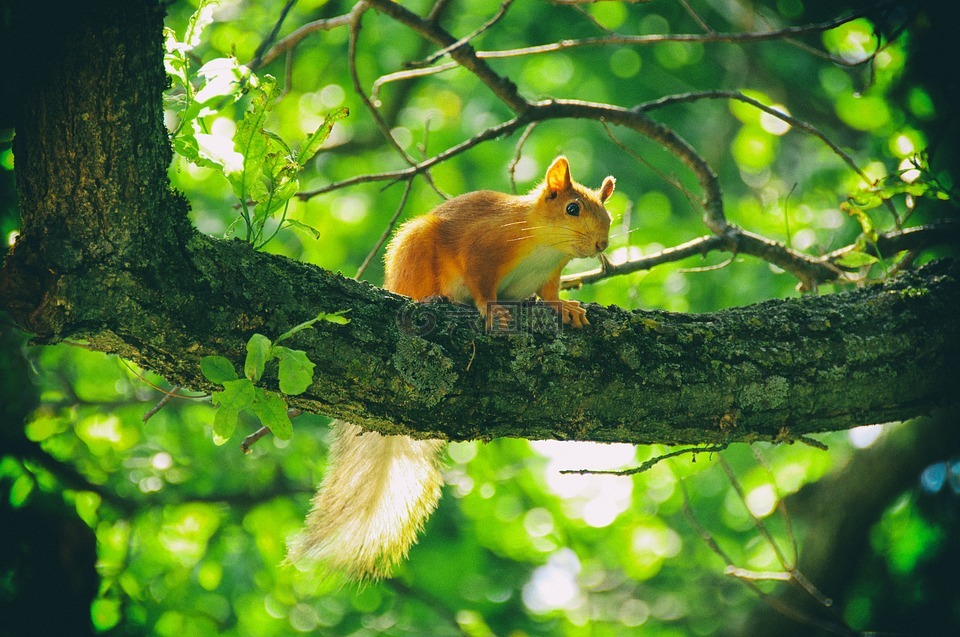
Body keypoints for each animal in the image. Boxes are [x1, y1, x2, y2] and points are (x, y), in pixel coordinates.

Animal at [286, 157, 616, 580]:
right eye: (572, 208)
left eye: (607, 214)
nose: (601, 245)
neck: (542, 245)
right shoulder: (482, 248)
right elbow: (480, 284)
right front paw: (492, 311)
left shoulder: (550, 273)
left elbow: (549, 294)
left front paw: (565, 308)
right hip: (415, 250)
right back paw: (434, 297)